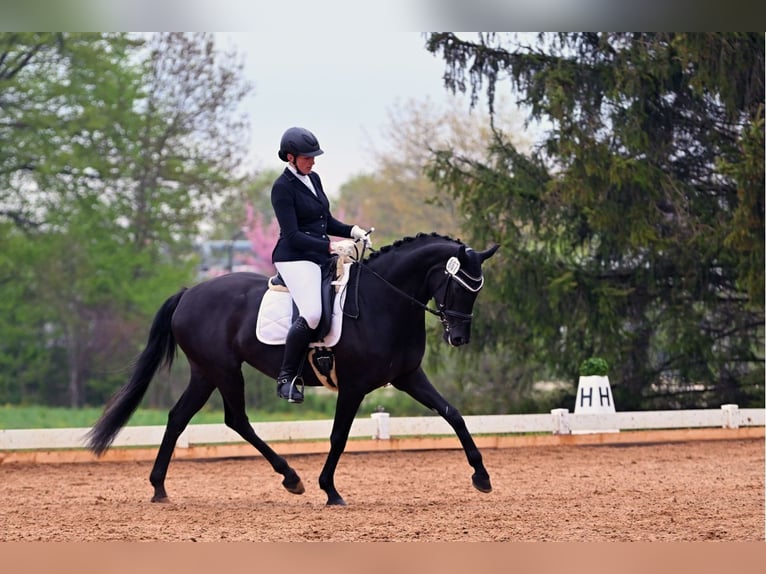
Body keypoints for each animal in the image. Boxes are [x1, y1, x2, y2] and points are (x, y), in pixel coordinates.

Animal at [87, 232, 500, 506]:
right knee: (236, 420)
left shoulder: (407, 377)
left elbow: (453, 413)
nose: (459, 338)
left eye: (477, 289)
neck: (382, 302)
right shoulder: (354, 386)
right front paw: (330, 490)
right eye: (458, 285)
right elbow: (338, 437)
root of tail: (190, 293)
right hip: (223, 370)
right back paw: (291, 477)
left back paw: (159, 487)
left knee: (179, 418)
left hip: (205, 373)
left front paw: (481, 477)